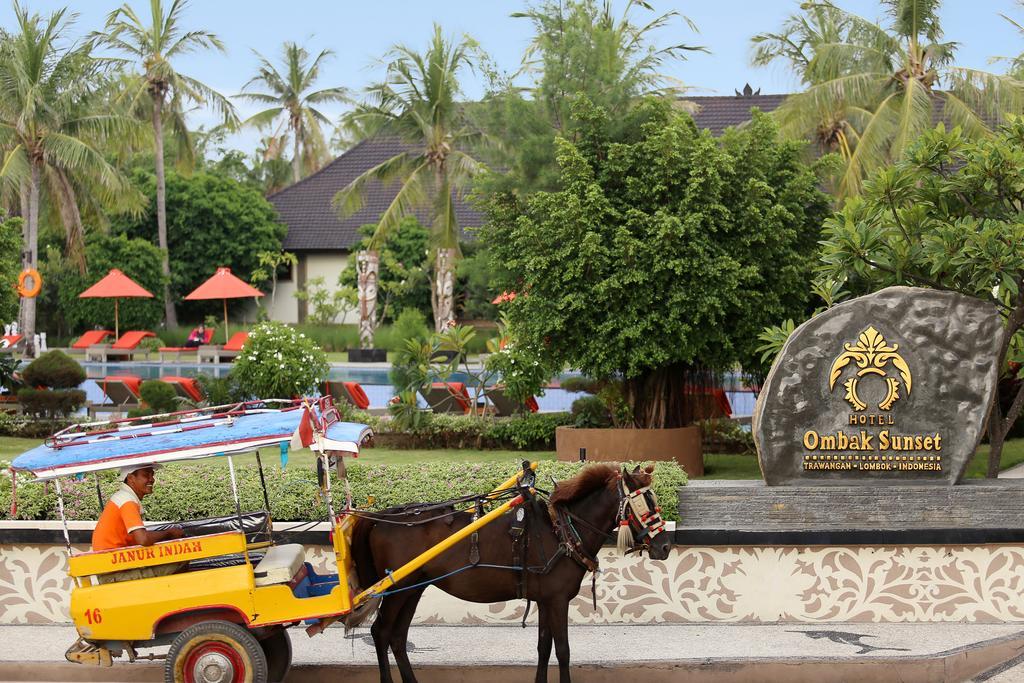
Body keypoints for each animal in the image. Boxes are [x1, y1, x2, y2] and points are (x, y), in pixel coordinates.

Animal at [352, 464, 671, 683]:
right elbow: (563, 650)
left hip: (413, 587)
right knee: (381, 632)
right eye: (644, 504)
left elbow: (544, 647)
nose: (665, 546)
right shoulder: (557, 601)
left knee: (397, 637)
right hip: (399, 588)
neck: (561, 531)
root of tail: (383, 517)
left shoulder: (546, 600)